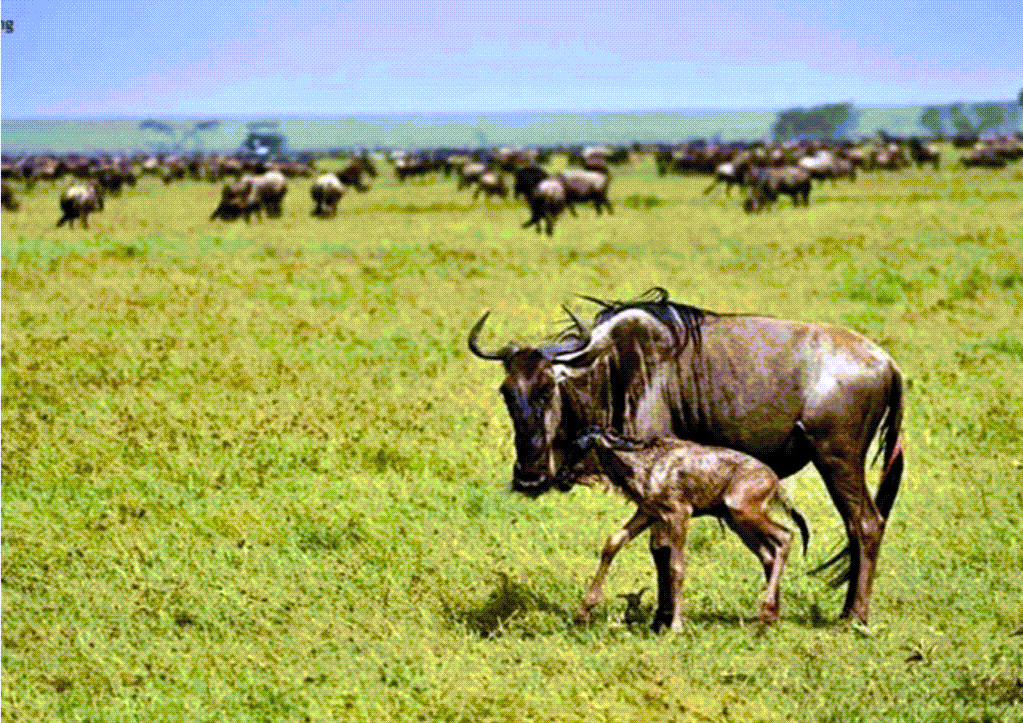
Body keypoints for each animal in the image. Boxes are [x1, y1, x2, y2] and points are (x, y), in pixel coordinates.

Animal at [556, 427, 810, 629]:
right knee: (768, 554)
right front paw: (583, 611)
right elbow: (613, 542)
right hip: (737, 521)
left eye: (577, 447)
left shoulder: (679, 514)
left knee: (785, 536)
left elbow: (676, 567)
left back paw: (766, 609)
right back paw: (769, 617)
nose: (560, 478)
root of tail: (775, 481)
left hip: (744, 511)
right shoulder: (647, 512)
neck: (644, 464)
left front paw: (676, 625)